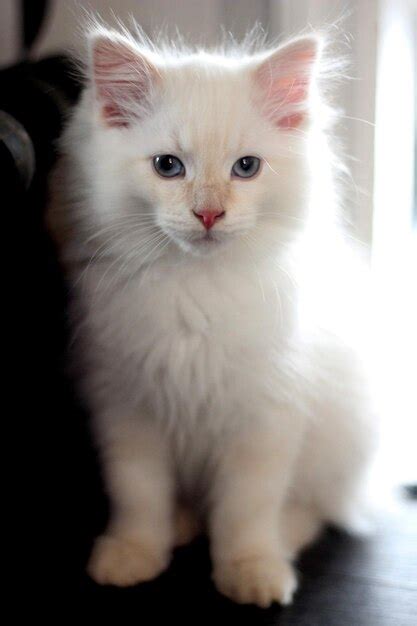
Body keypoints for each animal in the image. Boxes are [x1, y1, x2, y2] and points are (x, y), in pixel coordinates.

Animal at [47, 24, 376, 604]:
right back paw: (182, 524)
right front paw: (132, 553)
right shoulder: (126, 404)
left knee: (319, 508)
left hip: (345, 428)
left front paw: (250, 570)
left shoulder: (265, 414)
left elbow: (247, 509)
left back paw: (282, 539)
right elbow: (138, 495)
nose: (208, 213)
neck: (195, 288)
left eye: (246, 168)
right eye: (168, 167)